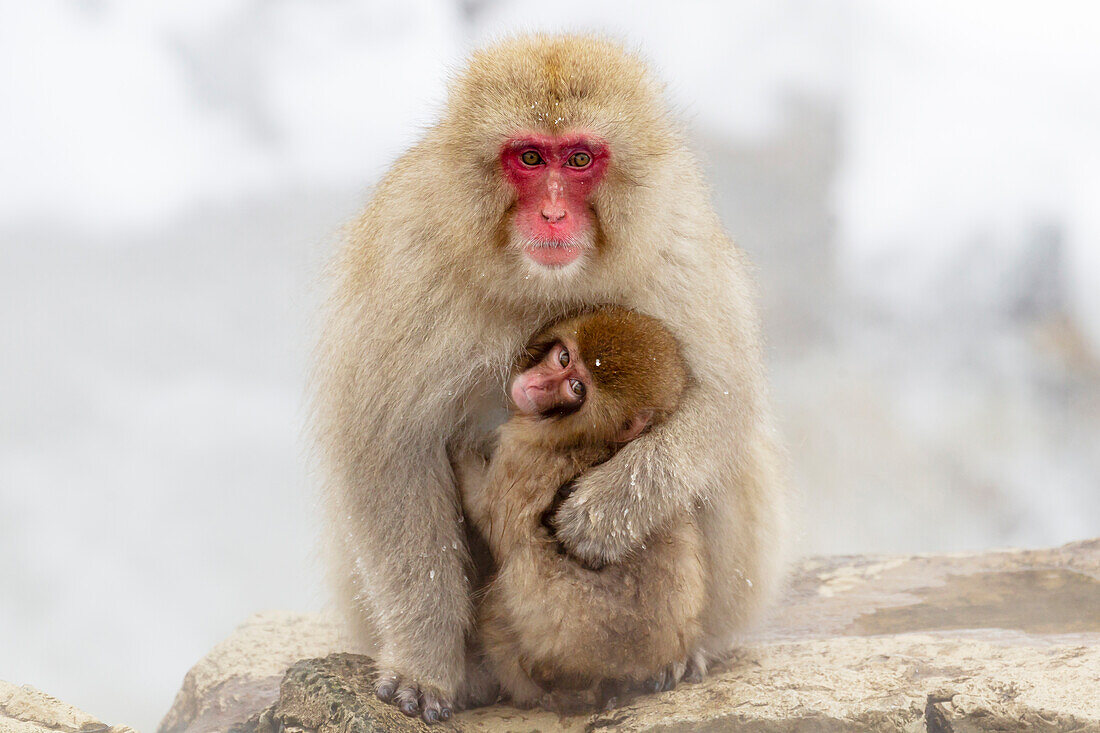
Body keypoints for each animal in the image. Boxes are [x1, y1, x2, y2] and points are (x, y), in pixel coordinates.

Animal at [455, 305, 704, 704]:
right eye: (563, 358)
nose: (536, 385)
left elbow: (490, 518)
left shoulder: (522, 459)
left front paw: (457, 448)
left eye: (576, 389)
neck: (583, 439)